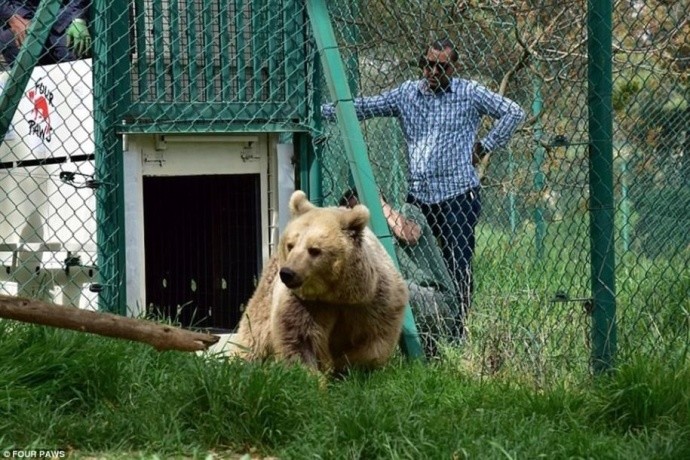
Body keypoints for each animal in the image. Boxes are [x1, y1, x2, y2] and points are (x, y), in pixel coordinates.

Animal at [228, 189, 406, 372]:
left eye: (314, 249)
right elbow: (299, 340)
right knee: (253, 333)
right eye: (290, 245)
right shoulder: (305, 303)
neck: (336, 294)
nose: (287, 273)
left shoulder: (373, 302)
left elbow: (375, 342)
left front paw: (346, 364)